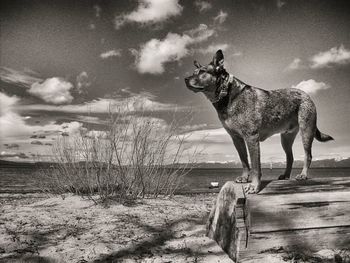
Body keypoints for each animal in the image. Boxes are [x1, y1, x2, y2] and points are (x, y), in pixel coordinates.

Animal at [183, 49, 334, 194]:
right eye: (194, 72)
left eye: (202, 72)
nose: (185, 79)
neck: (228, 94)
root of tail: (307, 94)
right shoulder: (236, 138)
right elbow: (244, 161)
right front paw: (244, 178)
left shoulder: (251, 137)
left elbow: (255, 166)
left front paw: (254, 186)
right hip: (286, 138)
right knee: (290, 157)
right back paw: (285, 175)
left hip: (306, 131)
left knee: (308, 155)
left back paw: (303, 175)